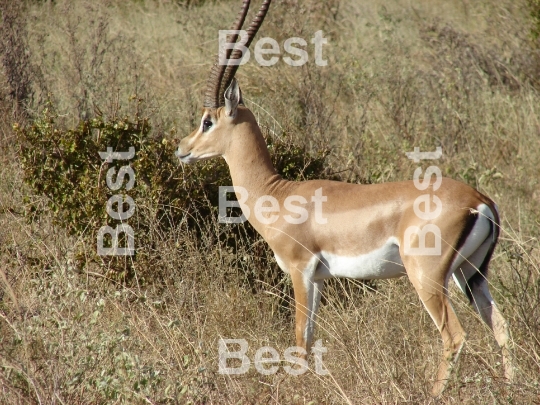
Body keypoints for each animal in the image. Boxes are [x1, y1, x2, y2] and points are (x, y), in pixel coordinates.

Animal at [177, 0, 516, 396]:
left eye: (207, 121)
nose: (182, 149)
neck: (278, 194)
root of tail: (479, 200)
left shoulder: (301, 270)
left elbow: (299, 338)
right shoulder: (320, 279)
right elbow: (310, 336)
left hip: (429, 278)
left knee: (454, 336)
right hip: (471, 275)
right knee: (502, 328)